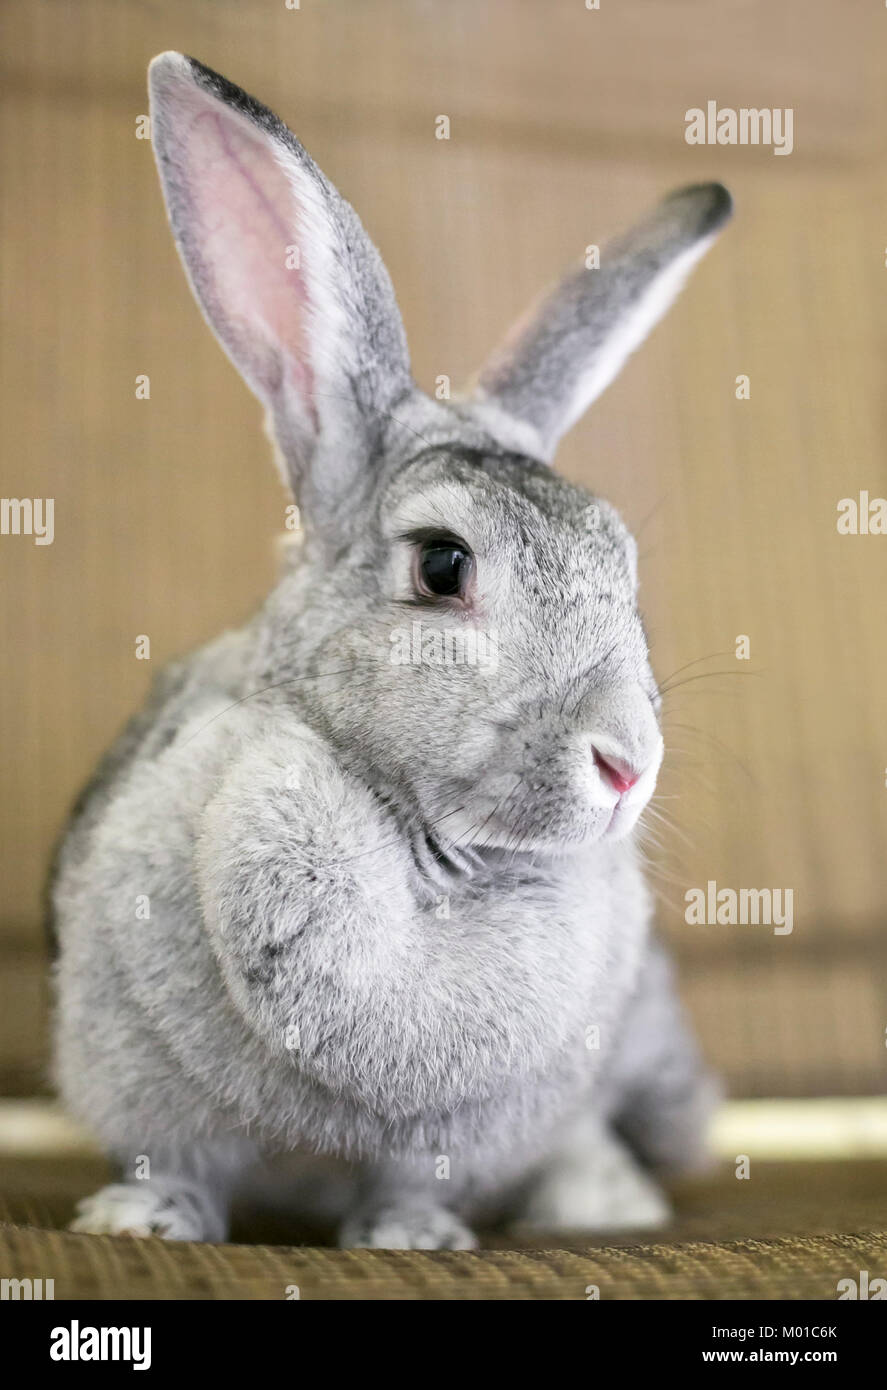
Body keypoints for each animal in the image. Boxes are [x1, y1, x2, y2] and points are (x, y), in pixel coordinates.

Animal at [50, 54, 728, 1251]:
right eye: (442, 566)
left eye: (620, 559)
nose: (626, 767)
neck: (428, 846)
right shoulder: (136, 1076)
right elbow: (173, 1156)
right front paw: (141, 1222)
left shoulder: (464, 1128)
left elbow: (413, 1179)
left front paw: (411, 1237)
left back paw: (598, 1200)